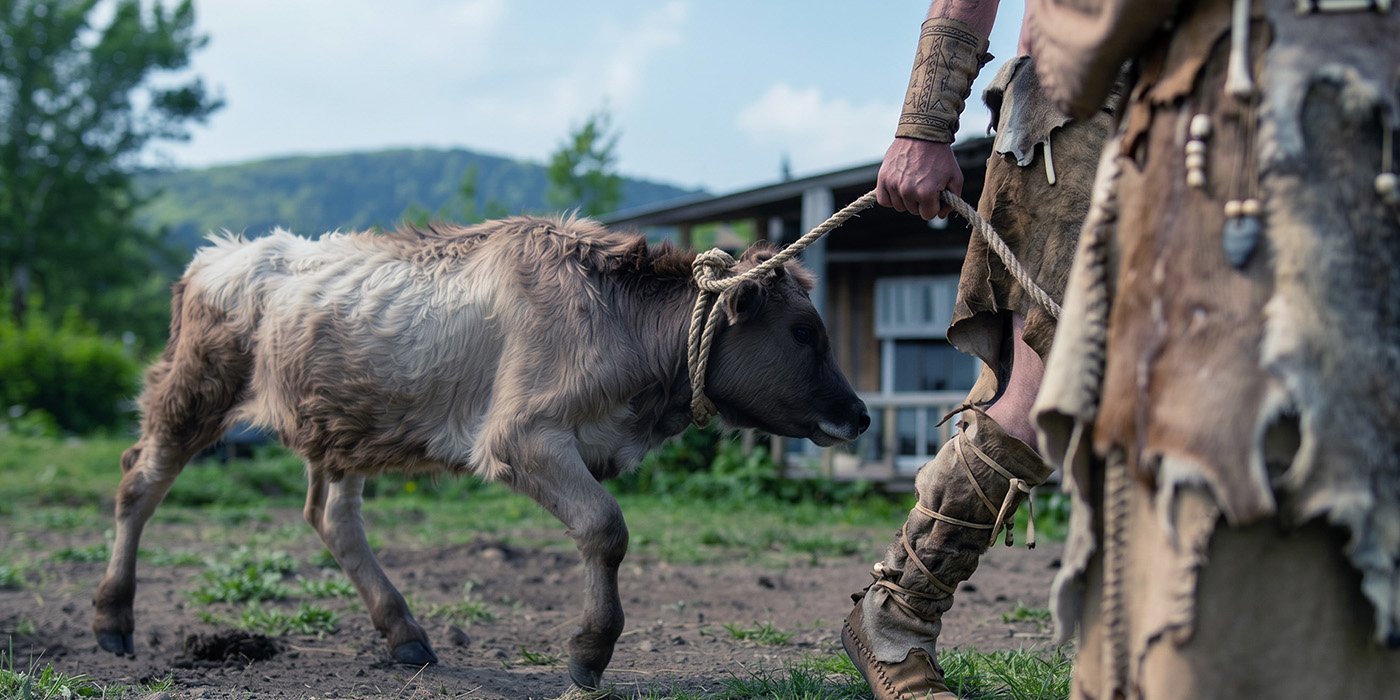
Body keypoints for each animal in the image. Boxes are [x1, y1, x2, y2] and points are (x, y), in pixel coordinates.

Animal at [92, 215, 870, 690]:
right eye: (805, 332)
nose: (861, 414)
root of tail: (220, 252)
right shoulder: (519, 433)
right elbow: (605, 528)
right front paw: (591, 650)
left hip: (341, 423)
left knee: (332, 518)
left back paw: (404, 634)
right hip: (193, 390)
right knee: (138, 483)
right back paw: (112, 618)